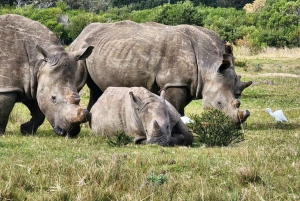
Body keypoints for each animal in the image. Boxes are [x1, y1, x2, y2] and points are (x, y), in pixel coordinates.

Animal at [69, 20, 248, 124]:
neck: (208, 66)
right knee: (78, 82)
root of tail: (81, 33)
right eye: (219, 103)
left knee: (96, 89)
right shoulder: (174, 82)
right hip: (79, 49)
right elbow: (176, 106)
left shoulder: (187, 83)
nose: (236, 123)